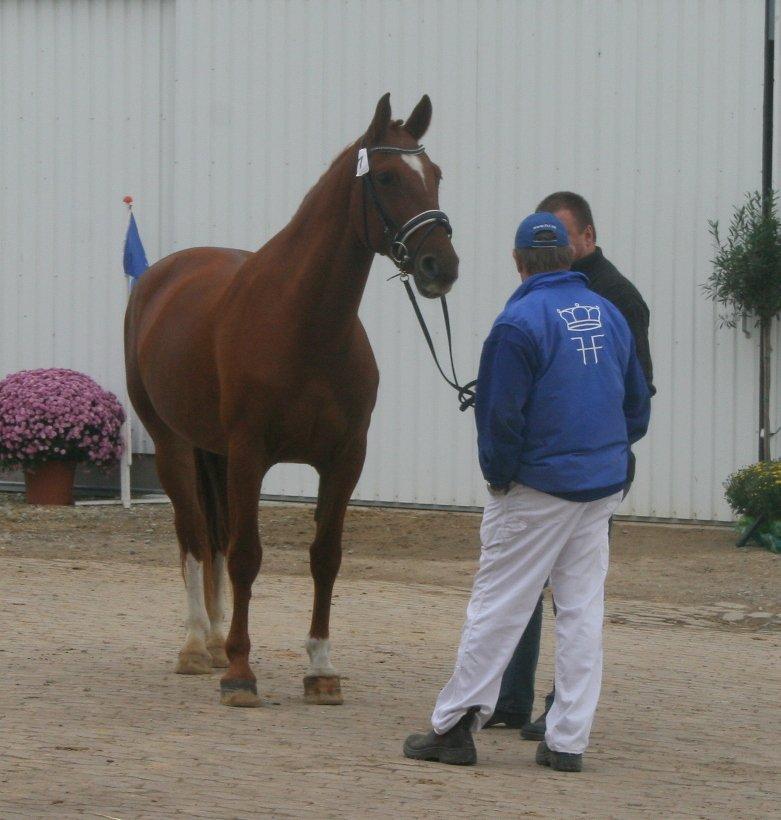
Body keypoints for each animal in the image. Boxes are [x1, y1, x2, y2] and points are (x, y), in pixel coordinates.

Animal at [122, 94, 458, 704]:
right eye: (388, 177)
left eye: (435, 175)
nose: (440, 266)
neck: (305, 323)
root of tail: (160, 279)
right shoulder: (251, 454)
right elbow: (247, 556)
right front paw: (240, 672)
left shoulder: (345, 458)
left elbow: (325, 557)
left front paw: (321, 668)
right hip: (172, 444)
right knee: (195, 536)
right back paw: (196, 646)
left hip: (214, 453)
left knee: (214, 537)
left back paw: (213, 641)